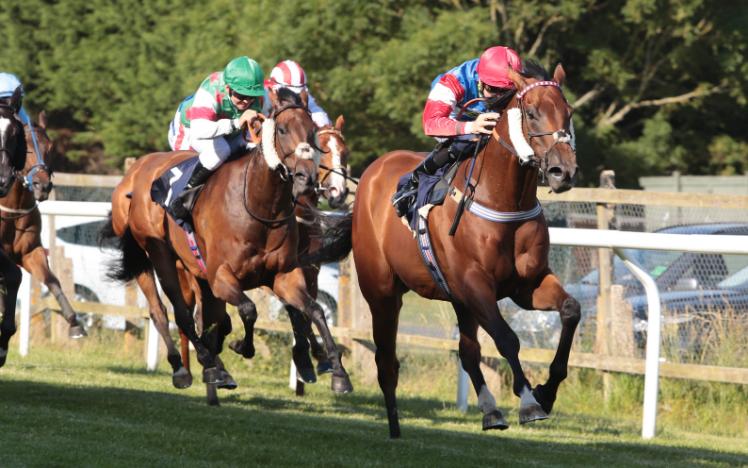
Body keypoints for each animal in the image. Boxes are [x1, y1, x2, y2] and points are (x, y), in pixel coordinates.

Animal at [101, 88, 350, 402]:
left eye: (313, 133)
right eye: (282, 130)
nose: (307, 179)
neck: (261, 207)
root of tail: (136, 174)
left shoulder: (287, 275)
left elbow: (312, 310)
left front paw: (333, 369)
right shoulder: (221, 277)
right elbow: (248, 310)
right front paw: (242, 347)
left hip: (196, 273)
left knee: (204, 317)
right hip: (157, 257)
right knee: (172, 312)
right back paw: (193, 368)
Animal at [350, 60, 580, 436]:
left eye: (568, 112)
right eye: (531, 113)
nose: (563, 171)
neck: (503, 200)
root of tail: (372, 171)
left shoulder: (526, 285)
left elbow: (571, 310)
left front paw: (546, 392)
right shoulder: (475, 283)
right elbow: (507, 339)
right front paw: (530, 402)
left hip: (459, 299)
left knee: (467, 351)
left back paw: (490, 411)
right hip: (382, 292)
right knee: (386, 360)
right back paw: (395, 428)